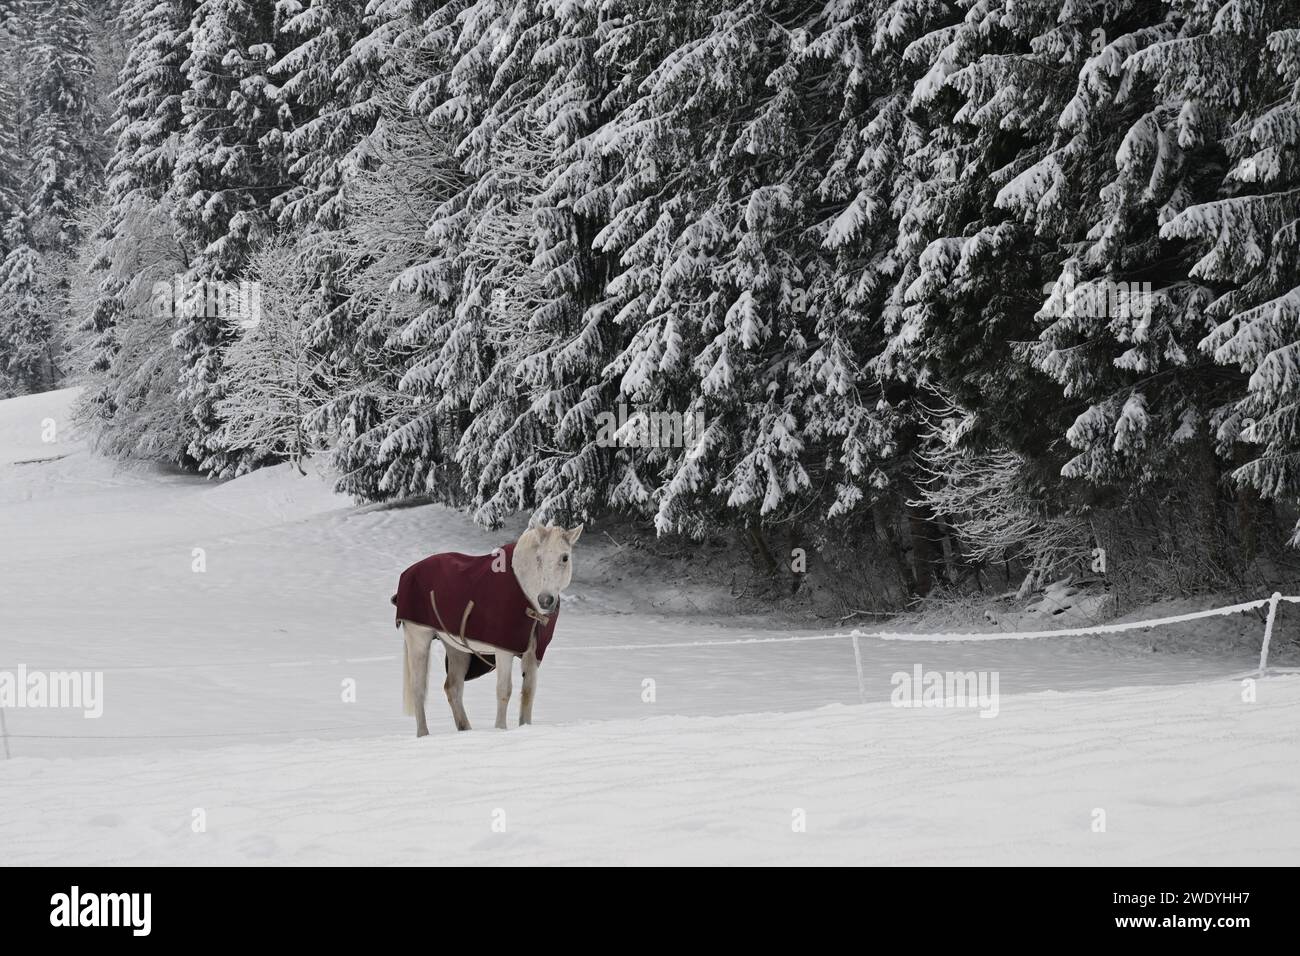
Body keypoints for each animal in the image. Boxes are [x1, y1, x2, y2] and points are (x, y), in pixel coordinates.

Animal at [395, 528, 579, 738]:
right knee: (418, 688)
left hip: (457, 649)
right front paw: (500, 729)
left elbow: (528, 692)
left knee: (453, 688)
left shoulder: (533, 655)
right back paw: (423, 734)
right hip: (419, 640)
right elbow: (504, 690)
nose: (546, 600)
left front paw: (525, 727)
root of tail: (409, 572)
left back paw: (466, 730)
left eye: (565, 557)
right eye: (538, 557)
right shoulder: (504, 651)